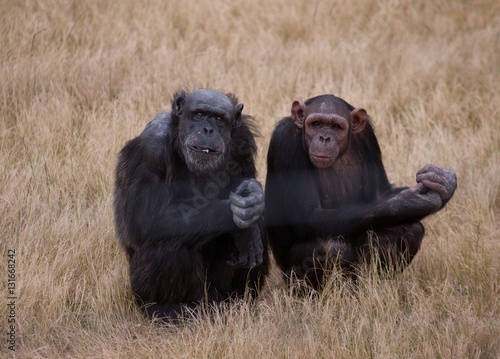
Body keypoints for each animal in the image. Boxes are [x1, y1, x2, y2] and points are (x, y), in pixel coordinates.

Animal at [114, 88, 270, 322]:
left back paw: (236, 303)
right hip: (148, 297)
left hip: (214, 293)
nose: (208, 129)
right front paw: (240, 223)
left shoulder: (244, 139)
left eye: (219, 119)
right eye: (199, 114)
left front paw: (253, 195)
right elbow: (147, 220)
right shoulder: (152, 147)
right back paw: (168, 311)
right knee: (168, 249)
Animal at [266, 95, 458, 290]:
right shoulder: (285, 141)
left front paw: (444, 183)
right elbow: (308, 215)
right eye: (316, 123)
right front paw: (410, 202)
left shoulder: (368, 136)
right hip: (290, 277)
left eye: (336, 126)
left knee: (409, 230)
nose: (324, 137)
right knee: (331, 248)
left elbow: (380, 193)